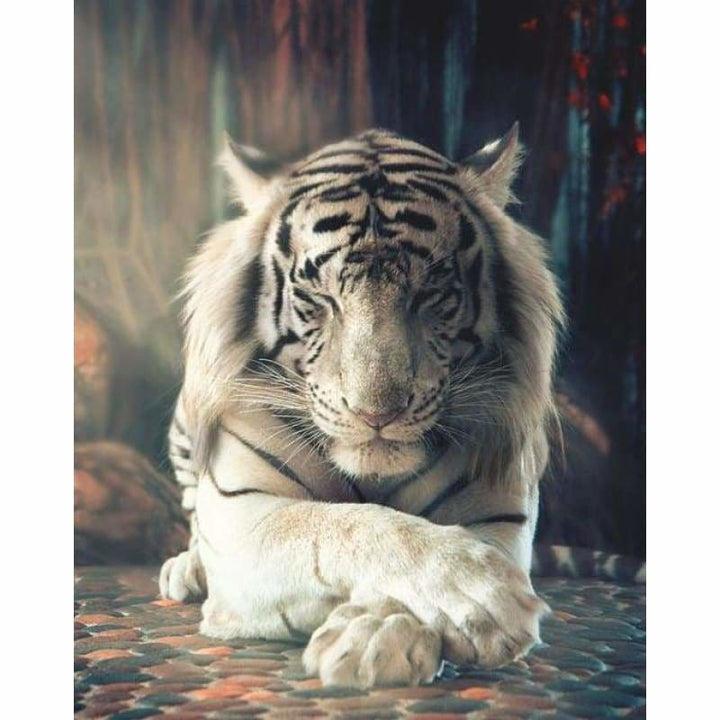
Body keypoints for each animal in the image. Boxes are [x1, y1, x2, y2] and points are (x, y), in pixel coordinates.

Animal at [160, 124, 566, 688]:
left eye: (431, 293)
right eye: (318, 297)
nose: (376, 414)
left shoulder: (498, 513)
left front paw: (377, 635)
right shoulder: (245, 516)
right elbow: (346, 524)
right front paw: (482, 595)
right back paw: (186, 568)